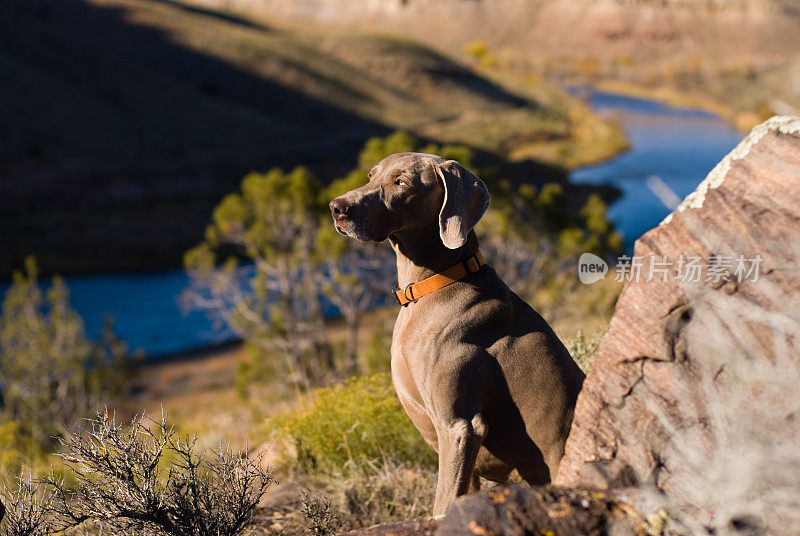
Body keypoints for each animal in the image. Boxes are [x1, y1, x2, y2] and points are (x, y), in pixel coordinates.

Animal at [328, 151, 584, 516]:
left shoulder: (460, 428)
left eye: (401, 182)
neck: (431, 287)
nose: (336, 207)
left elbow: (442, 505)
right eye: (371, 176)